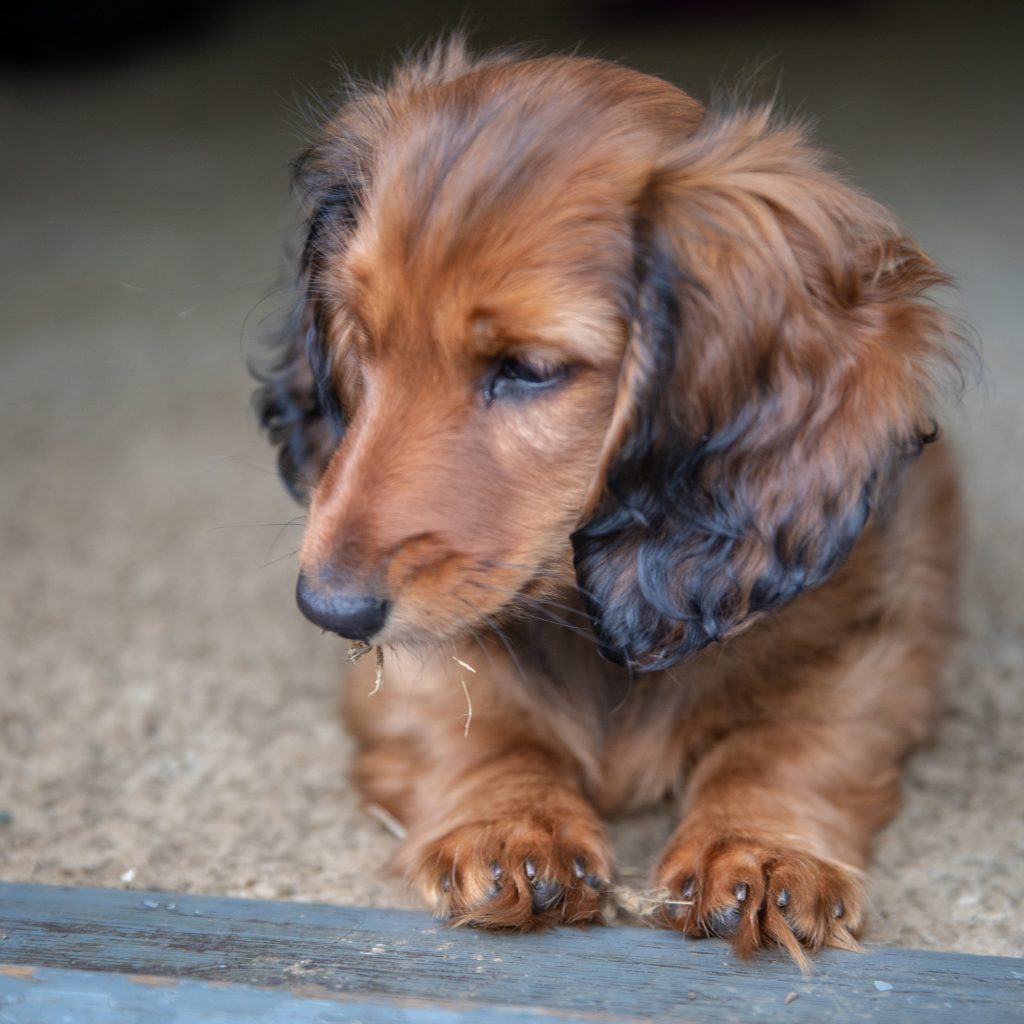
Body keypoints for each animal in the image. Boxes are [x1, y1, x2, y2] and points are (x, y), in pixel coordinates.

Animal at [253, 39, 966, 962]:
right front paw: (511, 822)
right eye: (362, 339)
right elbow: (470, 715)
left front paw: (763, 850)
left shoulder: (875, 639)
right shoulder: (421, 657)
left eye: (528, 369)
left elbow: (794, 740)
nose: (327, 609)